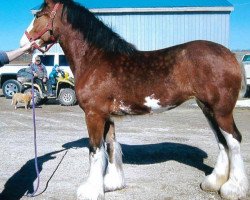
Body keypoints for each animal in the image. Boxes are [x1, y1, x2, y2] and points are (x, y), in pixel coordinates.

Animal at [20, 0, 248, 200]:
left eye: (39, 15)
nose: (23, 42)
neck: (95, 59)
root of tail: (230, 55)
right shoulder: (107, 117)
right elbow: (110, 147)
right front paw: (111, 184)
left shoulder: (94, 115)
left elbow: (95, 151)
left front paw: (91, 191)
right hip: (208, 109)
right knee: (222, 142)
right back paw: (214, 183)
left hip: (221, 110)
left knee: (234, 141)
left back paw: (233, 188)